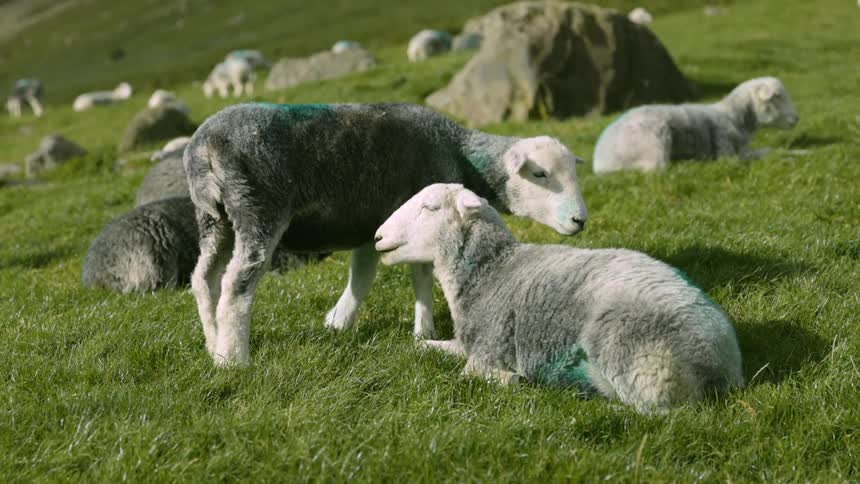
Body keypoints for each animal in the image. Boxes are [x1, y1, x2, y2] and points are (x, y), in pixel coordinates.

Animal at [184, 102, 588, 365]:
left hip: (214, 219)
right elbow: (421, 275)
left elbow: (363, 277)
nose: (580, 220)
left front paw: (338, 322)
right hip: (258, 207)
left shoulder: (371, 225)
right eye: (540, 174)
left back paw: (212, 343)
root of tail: (204, 148)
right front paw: (424, 331)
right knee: (236, 284)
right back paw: (233, 359)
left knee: (204, 279)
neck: (458, 153)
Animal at [375, 184, 744, 414]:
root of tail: (720, 365)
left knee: (655, 412)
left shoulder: (487, 351)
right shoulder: (467, 344)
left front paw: (516, 380)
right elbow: (423, 347)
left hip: (638, 358)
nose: (377, 236)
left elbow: (473, 374)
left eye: (430, 207)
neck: (491, 271)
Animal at [592, 77, 799, 174]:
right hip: (654, 141)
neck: (733, 116)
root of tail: (601, 162)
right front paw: (787, 157)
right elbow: (764, 152)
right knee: (655, 169)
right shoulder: (727, 155)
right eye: (778, 97)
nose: (796, 118)